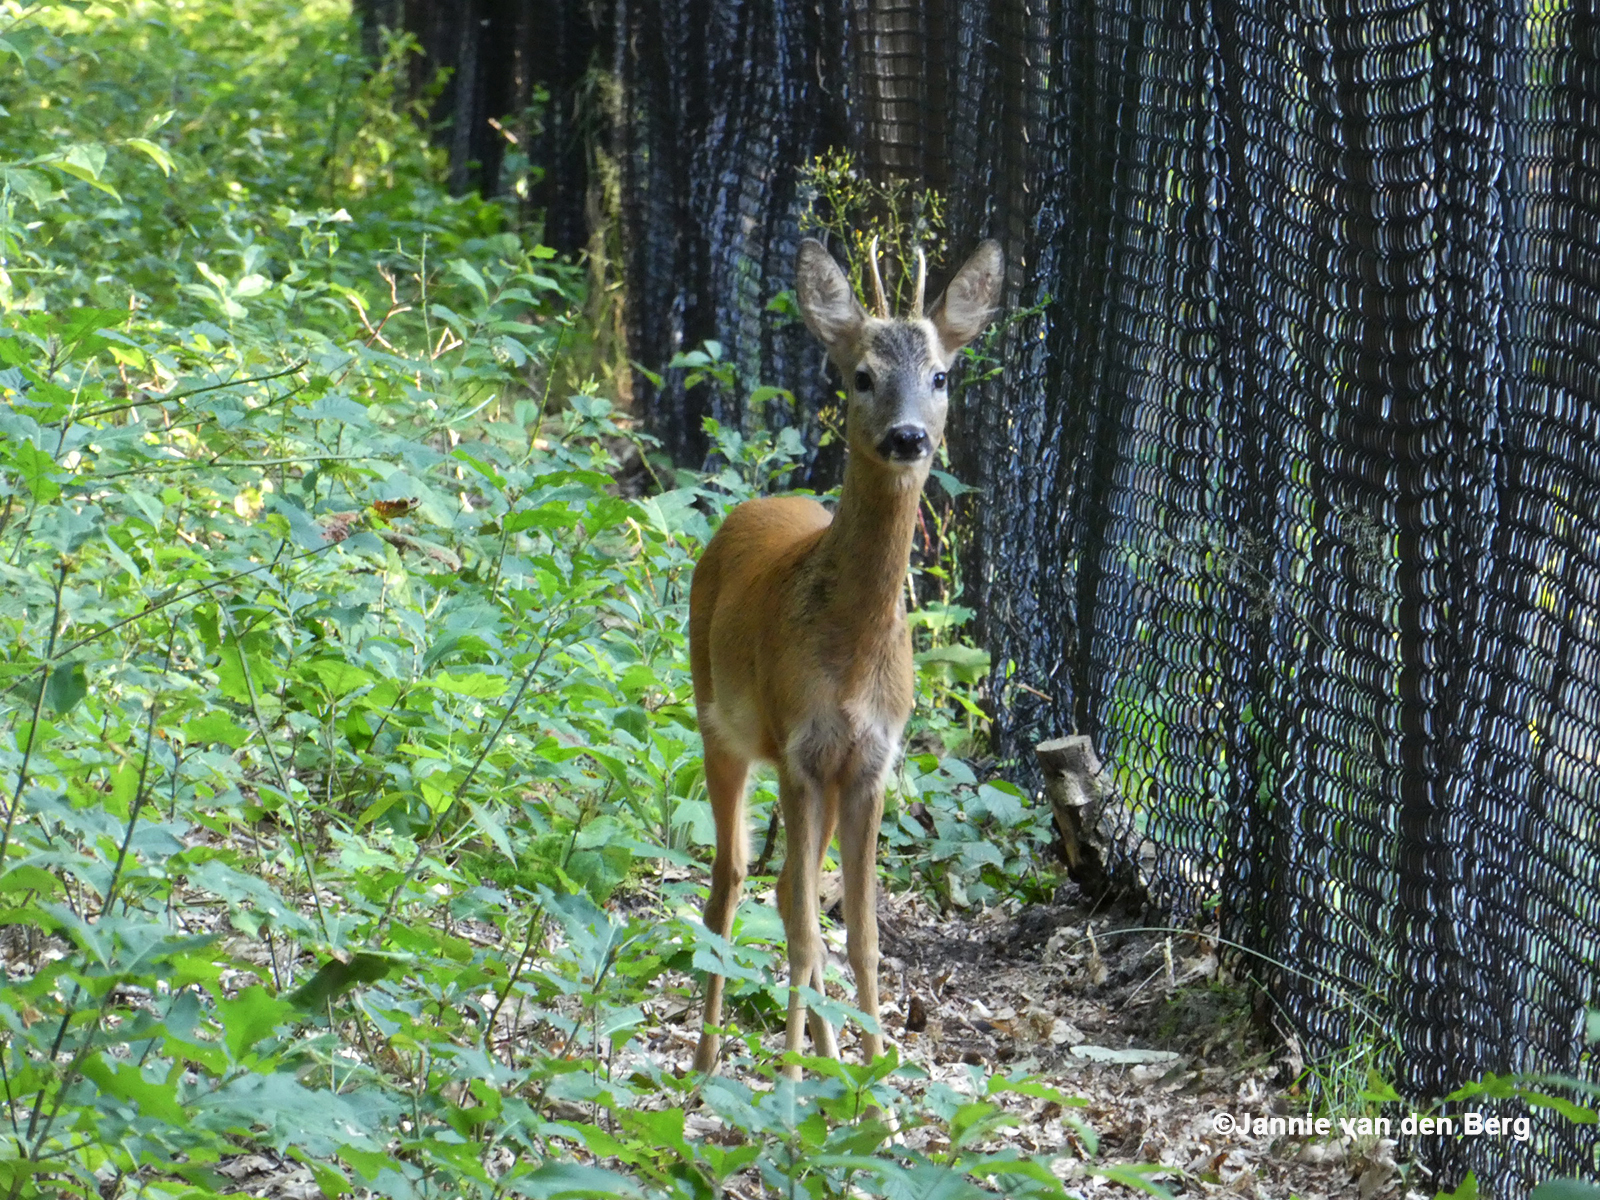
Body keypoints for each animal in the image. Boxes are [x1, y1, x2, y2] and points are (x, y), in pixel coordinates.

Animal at [688, 236, 998, 1081]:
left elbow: (861, 935)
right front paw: (793, 1082)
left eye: (940, 375)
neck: (853, 660)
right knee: (731, 882)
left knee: (784, 887)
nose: (908, 437)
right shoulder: (800, 749)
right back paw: (705, 1061)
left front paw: (874, 1089)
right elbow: (802, 931)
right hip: (718, 725)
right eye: (862, 375)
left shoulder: (867, 763)